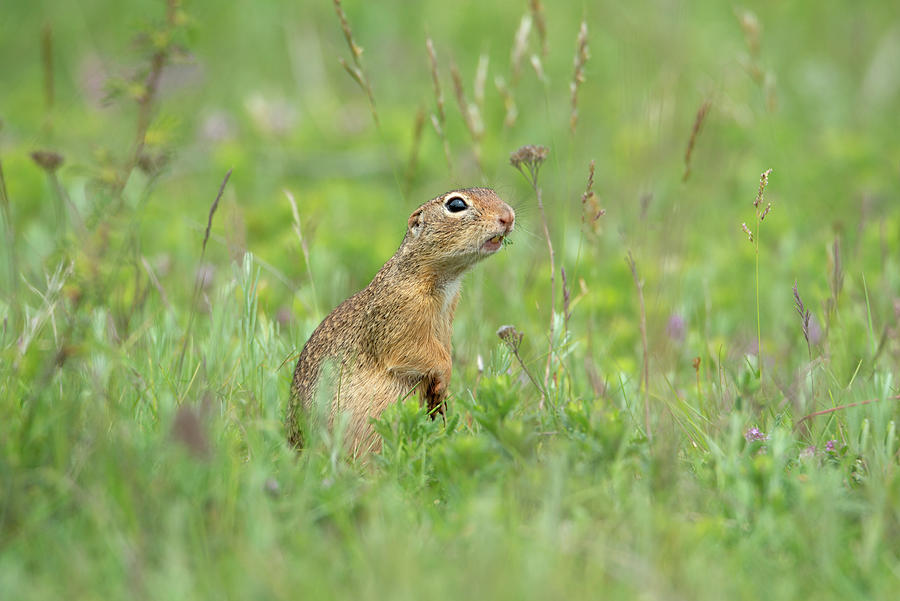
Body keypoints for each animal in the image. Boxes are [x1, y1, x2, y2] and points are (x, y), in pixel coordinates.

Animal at [288, 188, 512, 454]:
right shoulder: (402, 314)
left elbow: (444, 348)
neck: (442, 281)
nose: (508, 216)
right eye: (456, 205)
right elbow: (419, 352)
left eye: (494, 192)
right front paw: (444, 382)